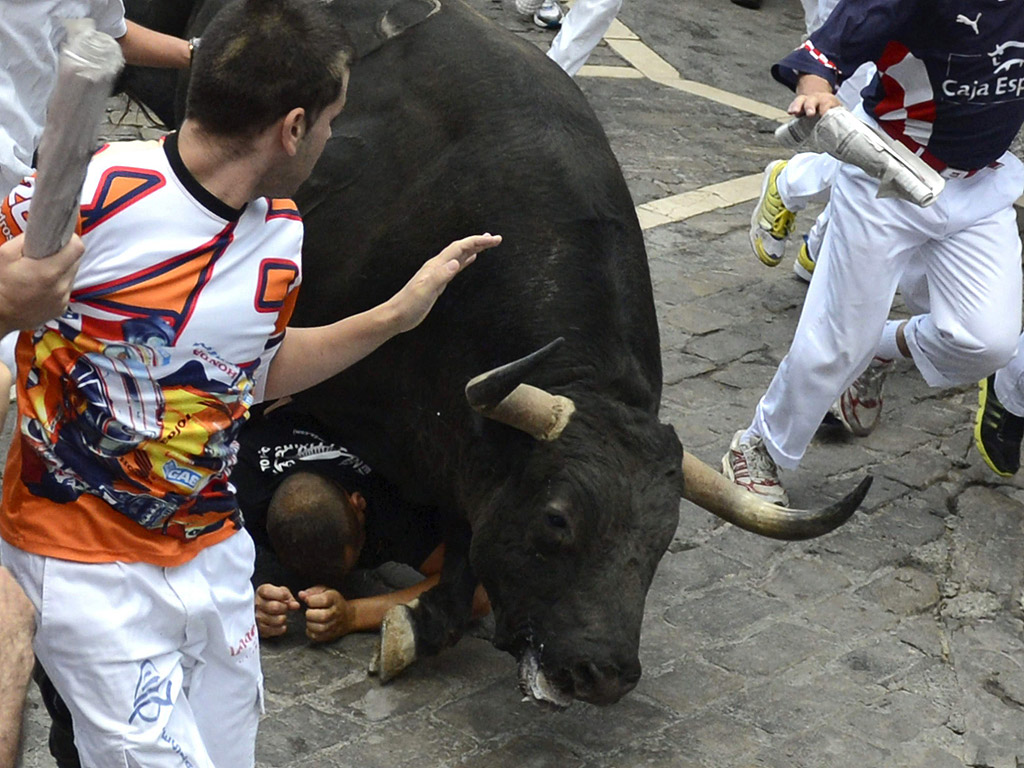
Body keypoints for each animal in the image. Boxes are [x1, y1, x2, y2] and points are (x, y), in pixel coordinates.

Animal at [121, 0, 872, 708]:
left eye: (661, 539)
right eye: (558, 520)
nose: (604, 674)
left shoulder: (462, 450)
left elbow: (467, 549)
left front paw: (415, 625)